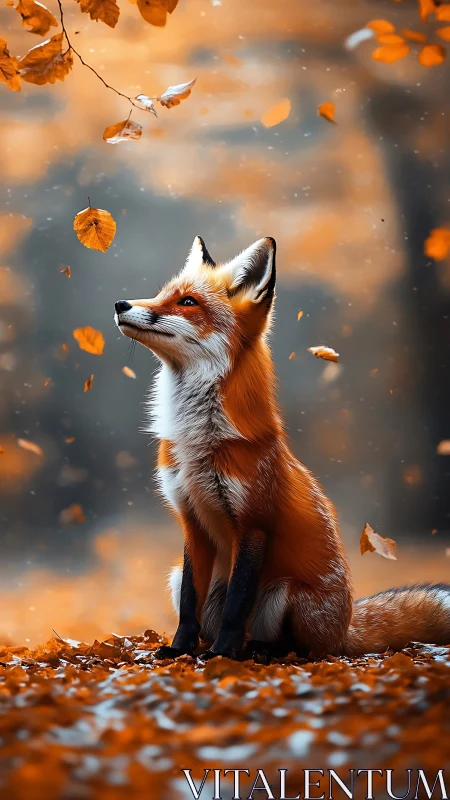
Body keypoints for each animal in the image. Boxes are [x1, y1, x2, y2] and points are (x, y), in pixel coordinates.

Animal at [114, 235, 450, 662]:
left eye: (187, 302)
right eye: (160, 294)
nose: (120, 304)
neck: (198, 440)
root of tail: (345, 628)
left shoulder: (254, 523)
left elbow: (237, 605)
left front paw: (222, 655)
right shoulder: (192, 521)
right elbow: (190, 604)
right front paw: (180, 650)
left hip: (286, 593)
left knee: (297, 647)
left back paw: (256, 650)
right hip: (176, 576)